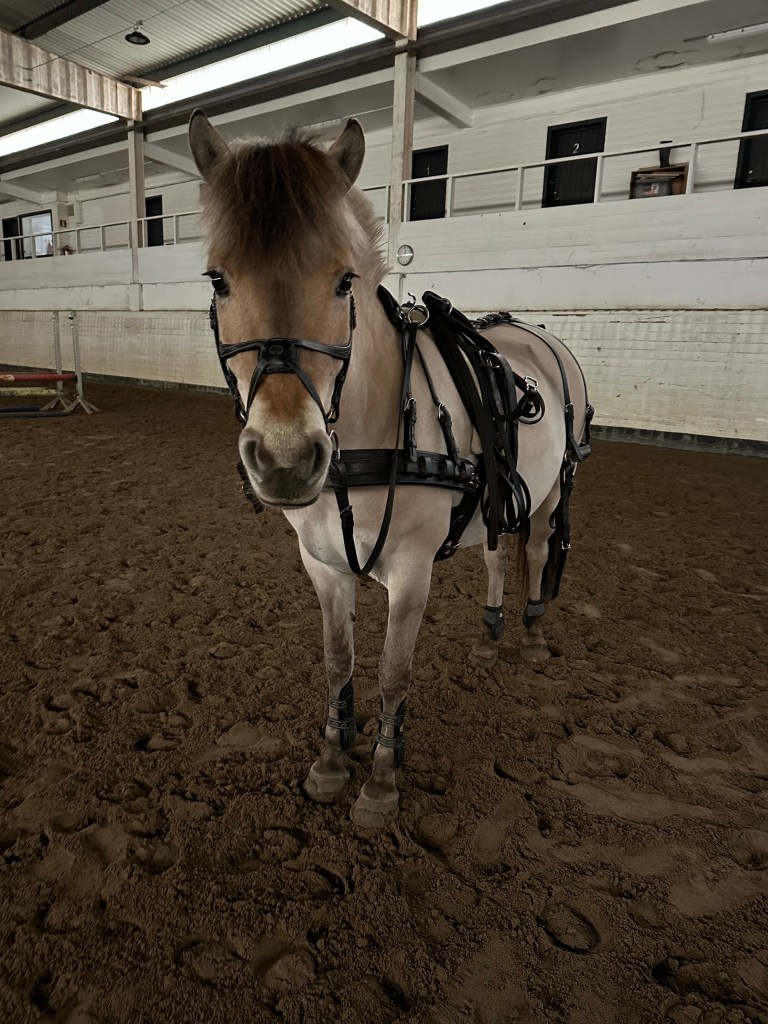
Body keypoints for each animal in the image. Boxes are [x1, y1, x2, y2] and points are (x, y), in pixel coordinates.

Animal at [188, 111, 592, 829]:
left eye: (343, 280)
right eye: (218, 280)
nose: (287, 458)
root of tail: (542, 336)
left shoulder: (410, 571)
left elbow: (392, 672)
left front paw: (380, 778)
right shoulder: (321, 565)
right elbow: (337, 662)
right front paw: (331, 758)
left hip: (550, 495)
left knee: (541, 549)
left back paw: (532, 633)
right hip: (499, 498)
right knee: (497, 555)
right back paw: (490, 636)